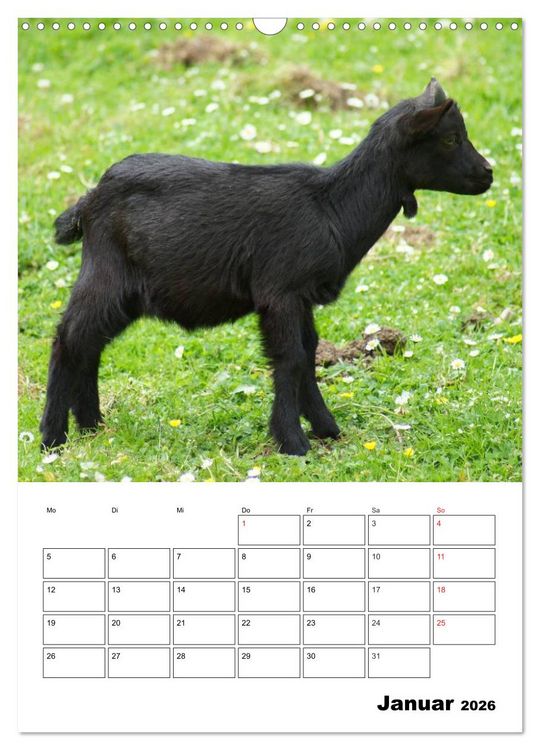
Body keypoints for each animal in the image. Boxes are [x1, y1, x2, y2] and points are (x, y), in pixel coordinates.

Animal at [40, 78, 493, 456]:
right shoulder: (280, 291)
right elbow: (289, 357)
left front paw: (327, 429)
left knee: (90, 343)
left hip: (126, 291)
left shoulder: (302, 295)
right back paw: (52, 438)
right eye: (451, 138)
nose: (488, 173)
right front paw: (292, 441)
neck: (331, 207)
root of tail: (89, 200)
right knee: (69, 339)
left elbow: (309, 352)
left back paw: (92, 427)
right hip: (107, 273)